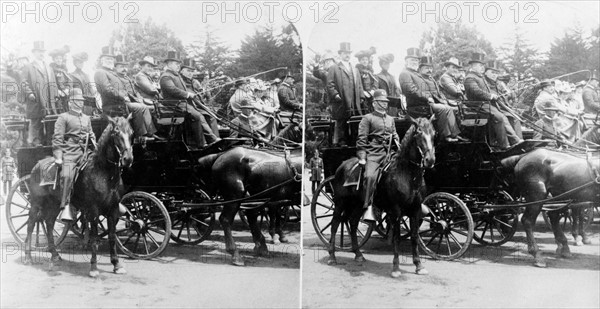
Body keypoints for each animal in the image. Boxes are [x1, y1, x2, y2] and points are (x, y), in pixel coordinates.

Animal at [24, 116, 133, 276]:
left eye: (131, 133)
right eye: (116, 133)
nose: (128, 159)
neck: (104, 173)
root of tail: (38, 163)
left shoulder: (112, 210)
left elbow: (112, 237)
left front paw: (116, 264)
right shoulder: (93, 211)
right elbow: (94, 238)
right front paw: (93, 267)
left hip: (54, 204)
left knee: (49, 223)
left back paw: (55, 255)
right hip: (36, 203)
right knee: (32, 224)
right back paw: (28, 257)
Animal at [328, 116, 436, 276]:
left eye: (434, 134)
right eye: (418, 133)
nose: (430, 160)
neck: (407, 174)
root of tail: (343, 165)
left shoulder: (415, 209)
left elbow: (415, 236)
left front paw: (418, 265)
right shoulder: (396, 211)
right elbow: (396, 237)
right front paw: (396, 267)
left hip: (358, 204)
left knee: (352, 223)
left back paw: (358, 255)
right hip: (340, 203)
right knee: (335, 223)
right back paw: (332, 256)